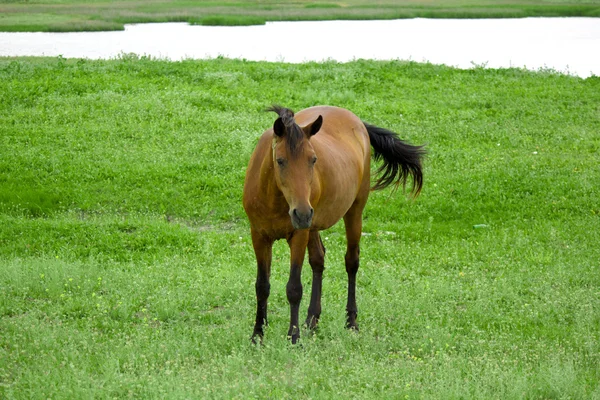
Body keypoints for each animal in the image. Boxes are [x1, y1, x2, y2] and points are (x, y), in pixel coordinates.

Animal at [241, 106, 424, 344]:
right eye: (280, 160)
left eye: (313, 159)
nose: (301, 212)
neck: (273, 198)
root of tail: (356, 121)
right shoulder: (259, 236)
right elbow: (262, 286)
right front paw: (257, 335)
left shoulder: (298, 236)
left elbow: (294, 288)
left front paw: (293, 336)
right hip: (312, 226)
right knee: (318, 260)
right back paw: (312, 320)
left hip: (353, 212)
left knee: (352, 262)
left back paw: (351, 322)